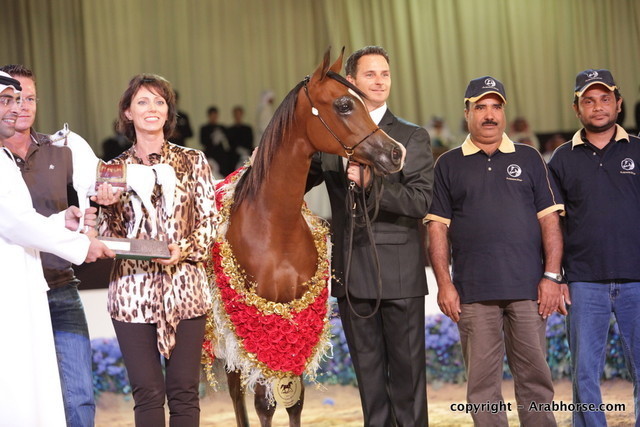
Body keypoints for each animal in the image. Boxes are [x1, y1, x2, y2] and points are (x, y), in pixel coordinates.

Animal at [203, 47, 406, 427]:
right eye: (344, 104)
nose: (396, 152)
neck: (273, 224)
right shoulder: (259, 323)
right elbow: (265, 404)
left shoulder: (296, 314)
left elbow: (294, 401)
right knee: (235, 393)